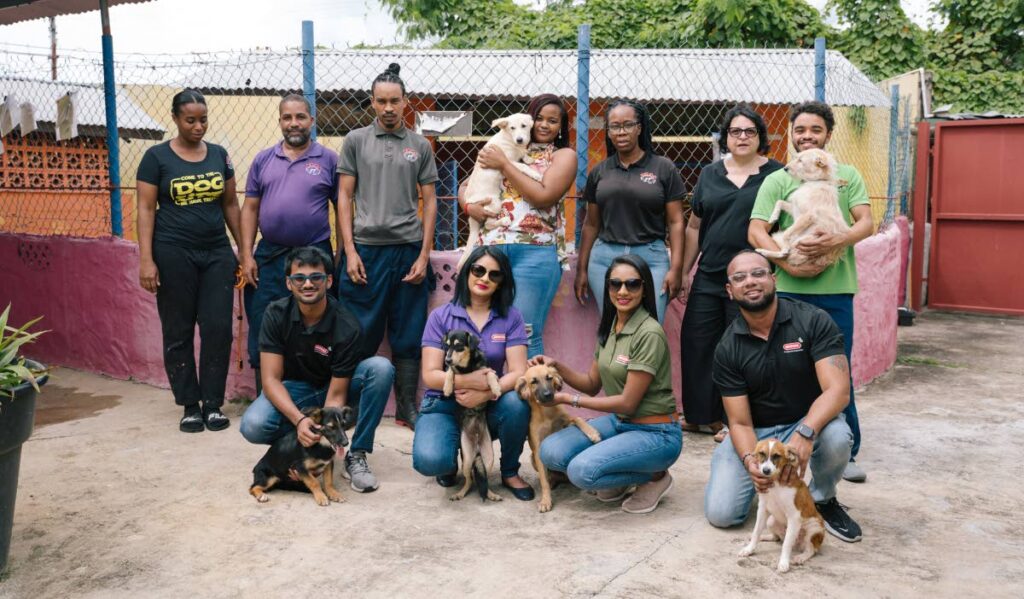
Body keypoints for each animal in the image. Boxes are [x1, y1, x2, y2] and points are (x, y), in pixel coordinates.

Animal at [440, 329, 503, 501]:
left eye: (459, 346)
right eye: (446, 346)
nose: (447, 360)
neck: (466, 367)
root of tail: (477, 450)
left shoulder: (487, 369)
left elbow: (490, 374)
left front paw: (495, 388)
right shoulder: (453, 368)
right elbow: (450, 372)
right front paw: (447, 387)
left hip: (489, 458)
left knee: (485, 479)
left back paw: (492, 494)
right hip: (467, 459)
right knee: (470, 480)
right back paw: (460, 493)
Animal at [462, 113, 548, 268]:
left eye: (524, 126)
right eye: (512, 128)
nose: (519, 139)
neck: (510, 140)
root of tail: (470, 203)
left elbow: (523, 155)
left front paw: (528, 158)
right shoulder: (508, 162)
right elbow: (522, 166)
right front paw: (535, 175)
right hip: (495, 203)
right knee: (488, 224)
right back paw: (505, 221)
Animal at [516, 362, 602, 511]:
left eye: (549, 378)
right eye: (534, 382)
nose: (548, 394)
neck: (547, 412)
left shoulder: (567, 421)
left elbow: (578, 418)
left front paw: (592, 433)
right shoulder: (538, 449)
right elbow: (543, 480)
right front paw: (545, 500)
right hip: (533, 458)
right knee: (550, 476)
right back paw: (552, 482)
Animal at [737, 436, 823, 573]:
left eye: (776, 456)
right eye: (762, 453)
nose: (766, 471)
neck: (775, 484)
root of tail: (798, 545)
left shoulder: (794, 517)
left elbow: (786, 544)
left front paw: (783, 563)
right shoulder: (763, 510)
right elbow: (756, 531)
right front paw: (749, 549)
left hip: (814, 527)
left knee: (811, 549)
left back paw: (800, 557)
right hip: (771, 520)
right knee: (777, 538)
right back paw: (765, 537)